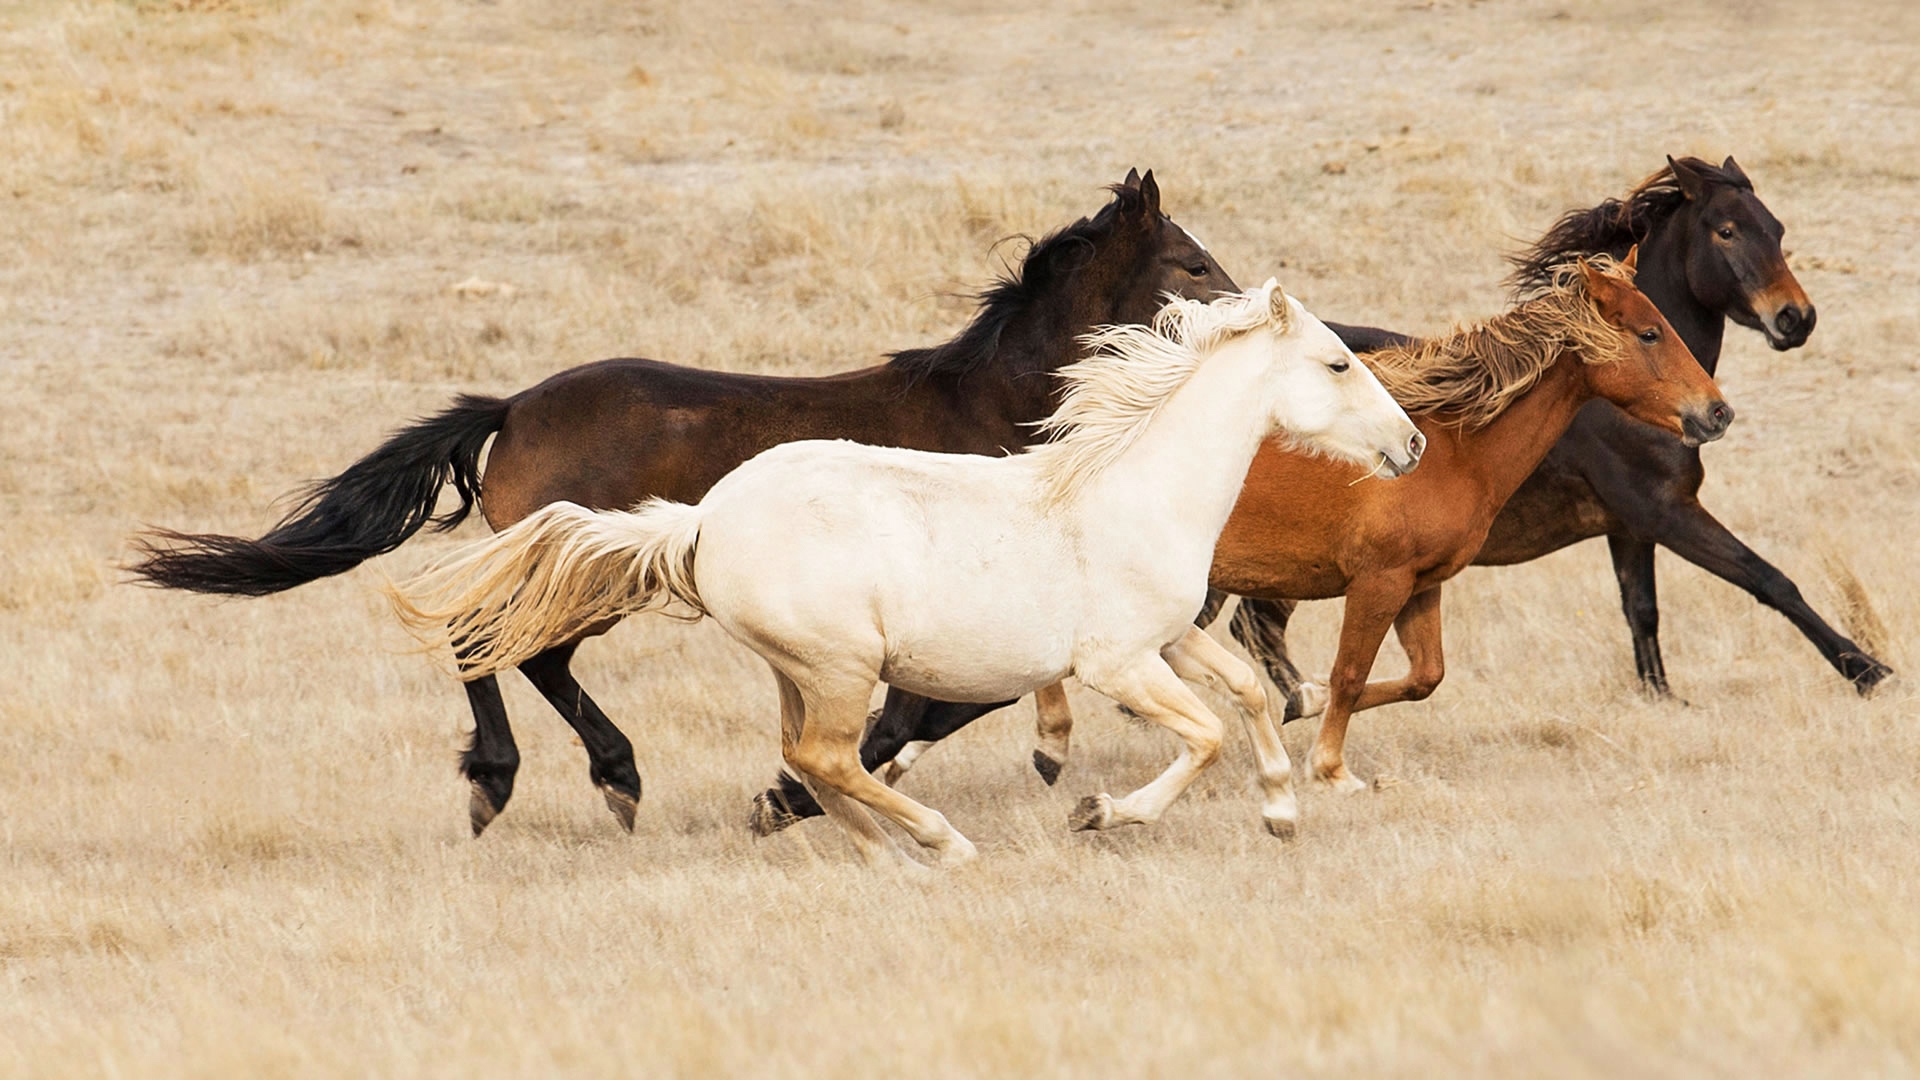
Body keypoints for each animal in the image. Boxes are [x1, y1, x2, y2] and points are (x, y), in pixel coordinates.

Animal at [127, 171, 1236, 837]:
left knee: (524, 655)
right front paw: (790, 797)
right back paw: (520, 782)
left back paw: (593, 780)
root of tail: (513, 408)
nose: (1247, 310)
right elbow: (937, 705)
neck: (994, 406)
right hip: (587, 574)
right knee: (491, 642)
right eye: (1191, 262)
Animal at [382, 282, 1428, 860]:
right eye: (1337, 364)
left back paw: (880, 848)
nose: (1413, 444)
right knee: (828, 757)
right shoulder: (1118, 664)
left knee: (813, 760)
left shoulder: (1170, 640)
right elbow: (1205, 734)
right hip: (841, 668)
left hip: (800, 671)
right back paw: (937, 841)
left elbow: (1248, 694)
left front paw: (1282, 811)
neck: (1135, 489)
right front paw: (1099, 811)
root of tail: (704, 518)